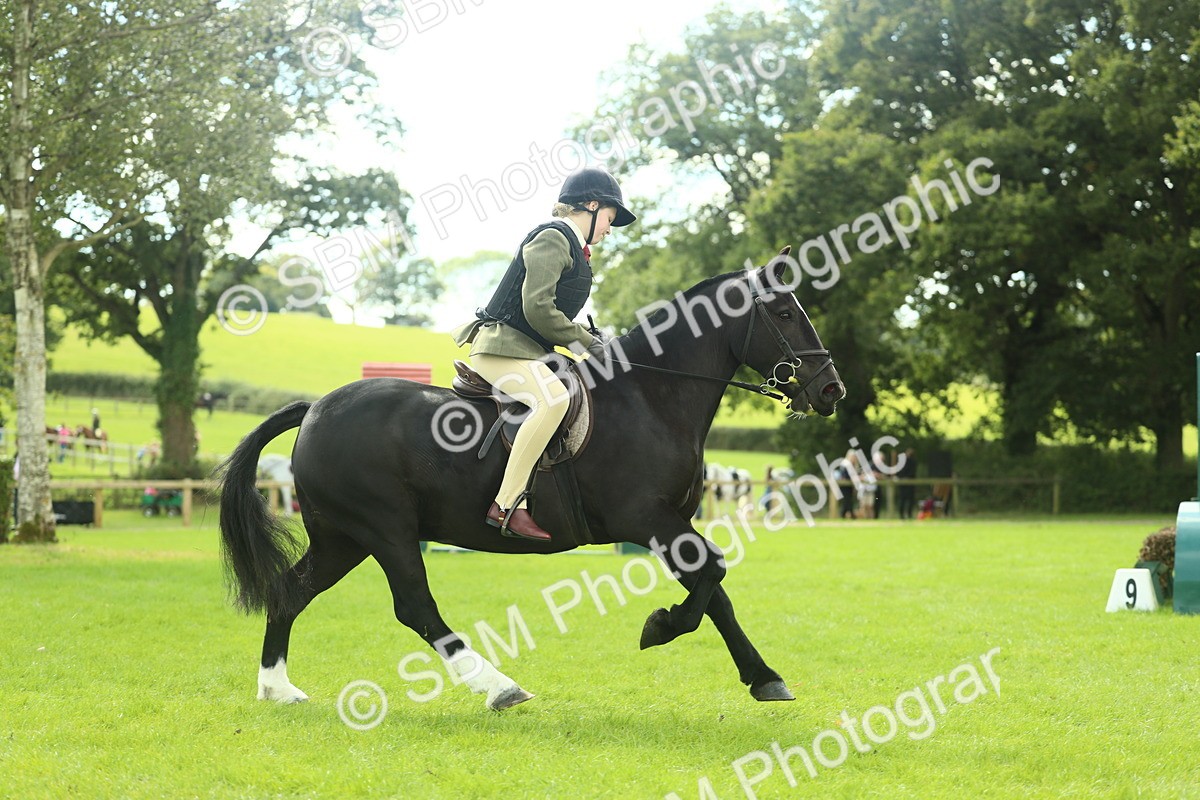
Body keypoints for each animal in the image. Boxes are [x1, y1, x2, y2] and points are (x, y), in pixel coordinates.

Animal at [218, 253, 844, 711]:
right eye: (784, 314)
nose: (830, 389)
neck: (652, 396)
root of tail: (316, 408)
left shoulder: (673, 524)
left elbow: (717, 594)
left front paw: (764, 677)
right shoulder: (650, 519)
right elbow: (711, 579)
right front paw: (660, 626)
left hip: (342, 537)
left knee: (291, 591)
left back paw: (277, 689)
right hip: (385, 530)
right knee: (417, 607)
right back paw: (500, 688)